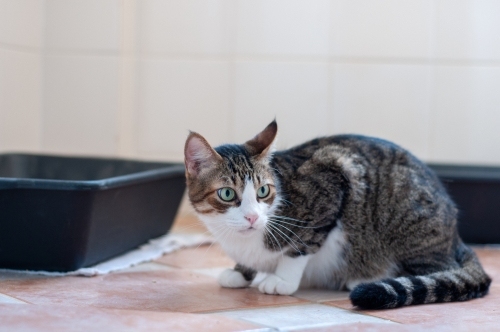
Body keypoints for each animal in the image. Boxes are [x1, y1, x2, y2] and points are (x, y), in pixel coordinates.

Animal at [183, 120, 488, 310]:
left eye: (263, 191)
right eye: (226, 194)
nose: (252, 218)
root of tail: (456, 239)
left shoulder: (332, 179)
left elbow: (301, 246)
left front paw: (282, 281)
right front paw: (240, 273)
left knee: (440, 270)